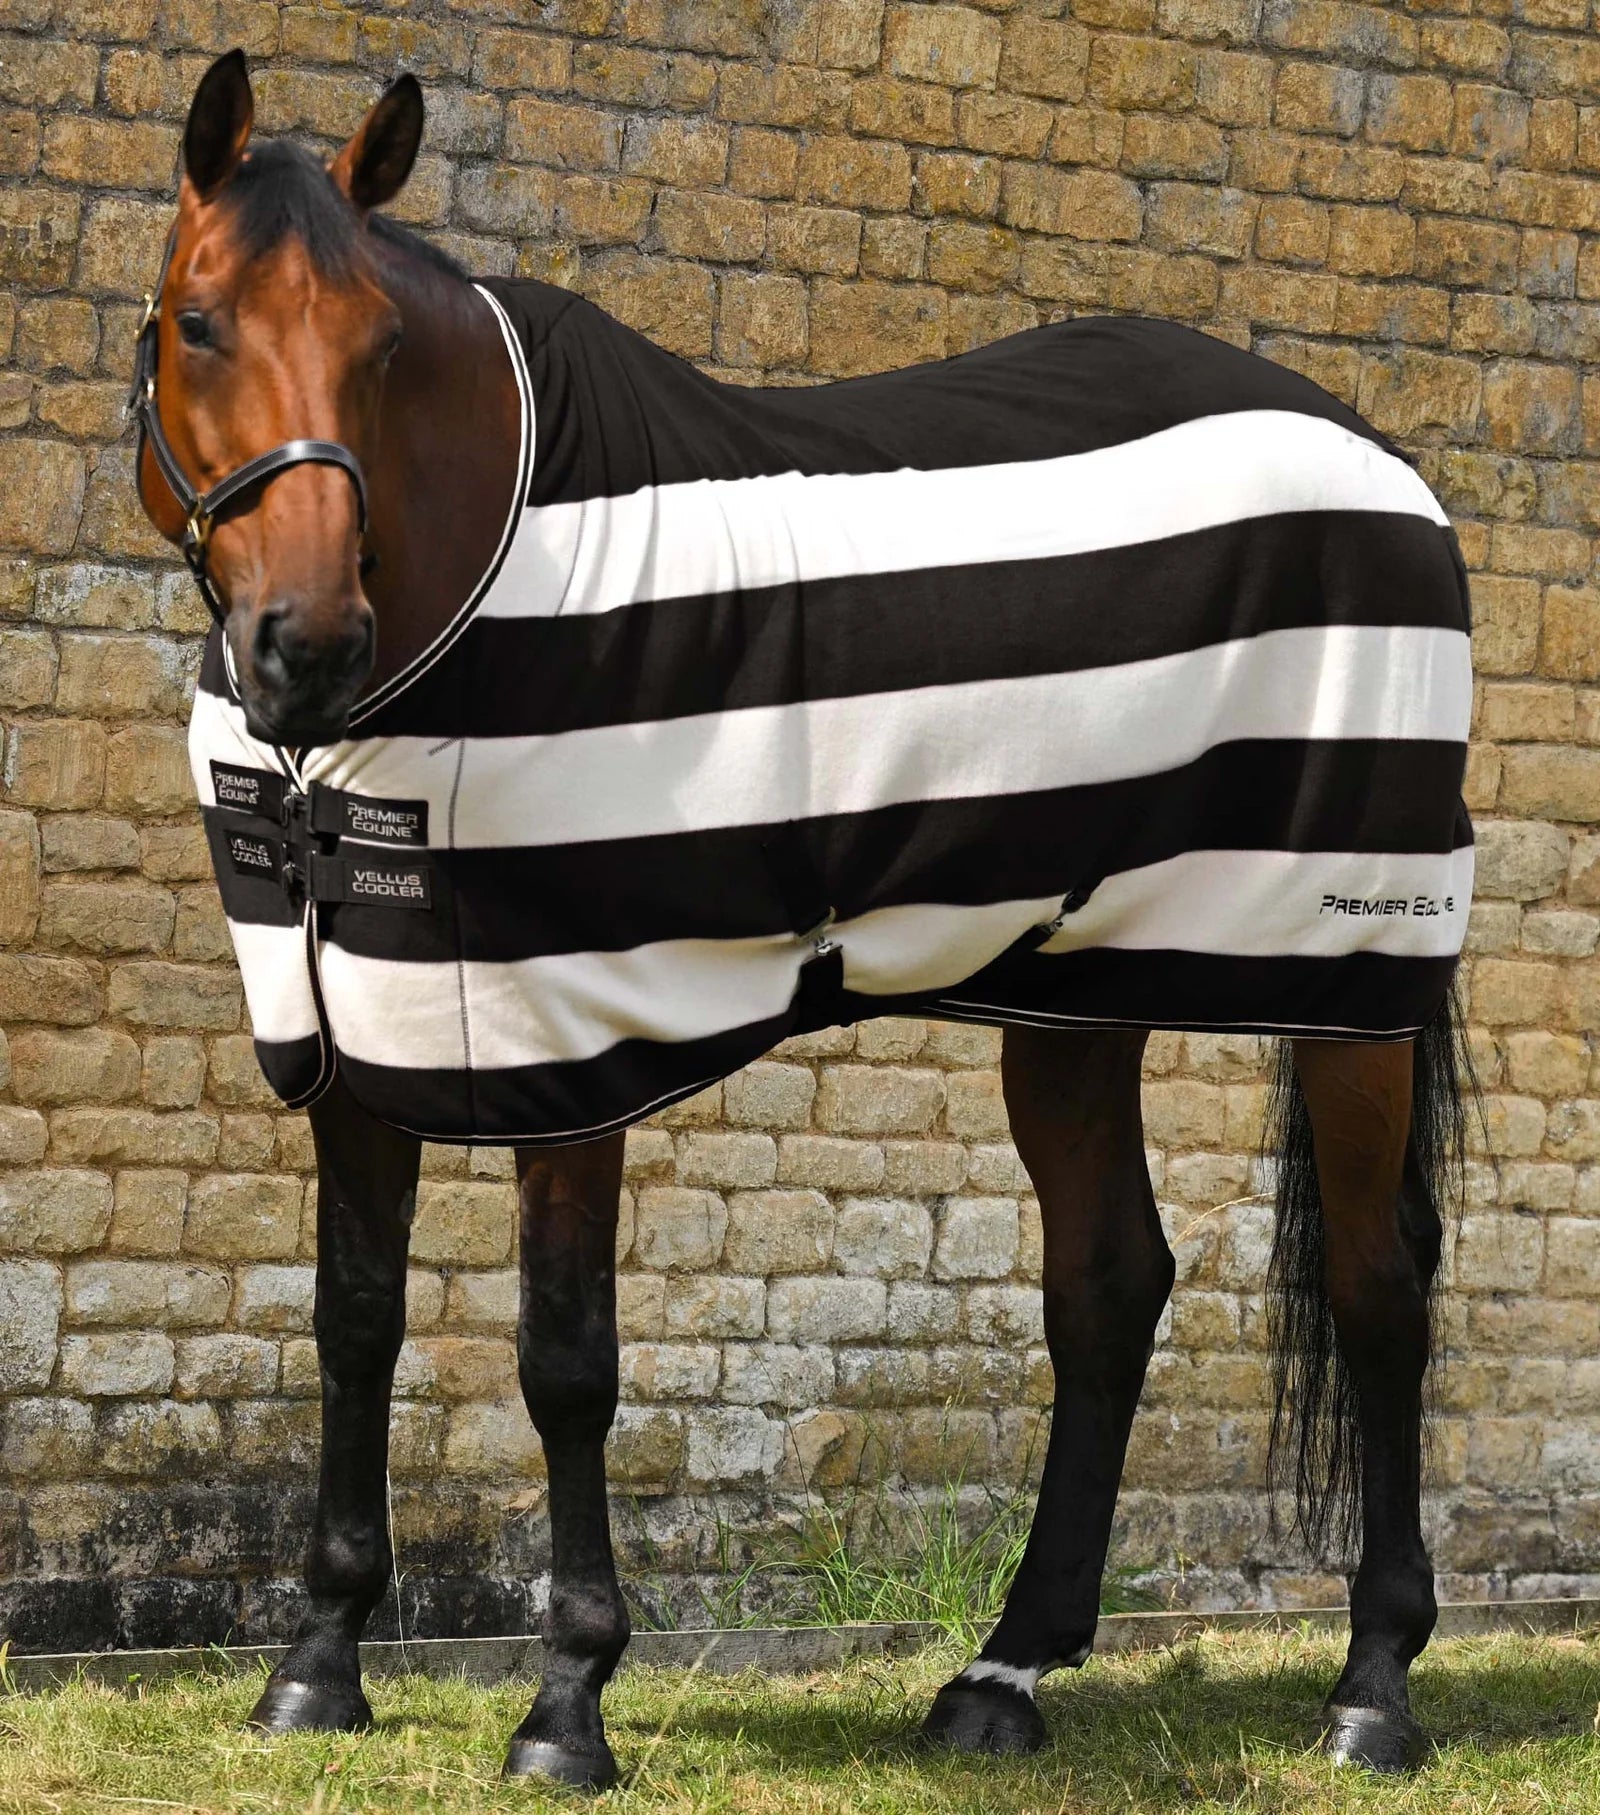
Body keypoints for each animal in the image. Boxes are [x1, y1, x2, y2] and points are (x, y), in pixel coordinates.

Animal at [132, 51, 1476, 1788]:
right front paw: (316, 1662)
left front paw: (567, 1700)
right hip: (1076, 980)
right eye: (199, 322)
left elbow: (565, 1358)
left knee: (1379, 1287)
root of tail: (1383, 459)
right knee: (1109, 1281)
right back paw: (1004, 1671)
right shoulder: (352, 1028)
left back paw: (1373, 1685)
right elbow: (353, 1319)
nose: (305, 645)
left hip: (1348, 972)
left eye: (383, 346)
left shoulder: (576, 1034)